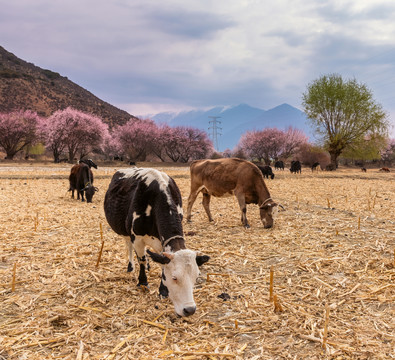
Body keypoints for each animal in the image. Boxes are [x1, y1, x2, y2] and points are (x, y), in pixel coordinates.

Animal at [104, 167, 210, 316]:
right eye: (174, 277)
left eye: (196, 277)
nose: (190, 310)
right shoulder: (137, 238)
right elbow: (141, 260)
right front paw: (142, 282)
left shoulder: (162, 243)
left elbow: (161, 264)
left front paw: (163, 290)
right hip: (125, 232)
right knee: (129, 247)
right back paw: (131, 267)